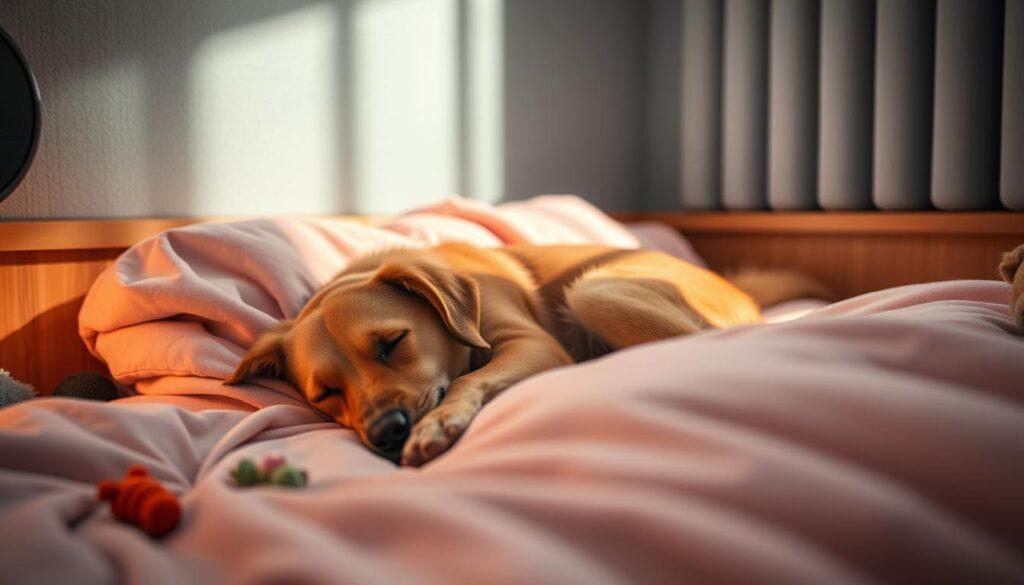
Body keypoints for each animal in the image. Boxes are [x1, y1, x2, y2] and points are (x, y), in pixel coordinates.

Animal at [228, 242, 819, 467]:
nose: (387, 432)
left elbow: (470, 379)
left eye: (393, 342)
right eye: (326, 393)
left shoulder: (529, 342)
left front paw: (440, 424)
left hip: (597, 290)